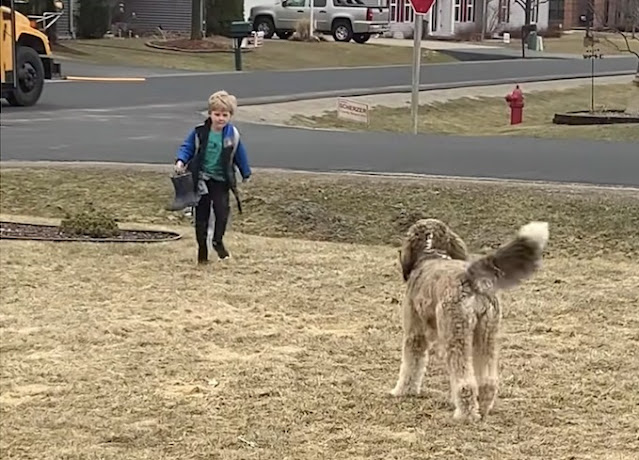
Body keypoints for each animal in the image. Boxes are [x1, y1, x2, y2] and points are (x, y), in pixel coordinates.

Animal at [390, 217, 552, 422]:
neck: (430, 253)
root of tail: (470, 278)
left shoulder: (414, 333)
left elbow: (411, 364)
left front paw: (402, 391)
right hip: (486, 335)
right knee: (488, 381)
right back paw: (482, 409)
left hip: (455, 335)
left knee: (465, 382)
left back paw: (464, 414)